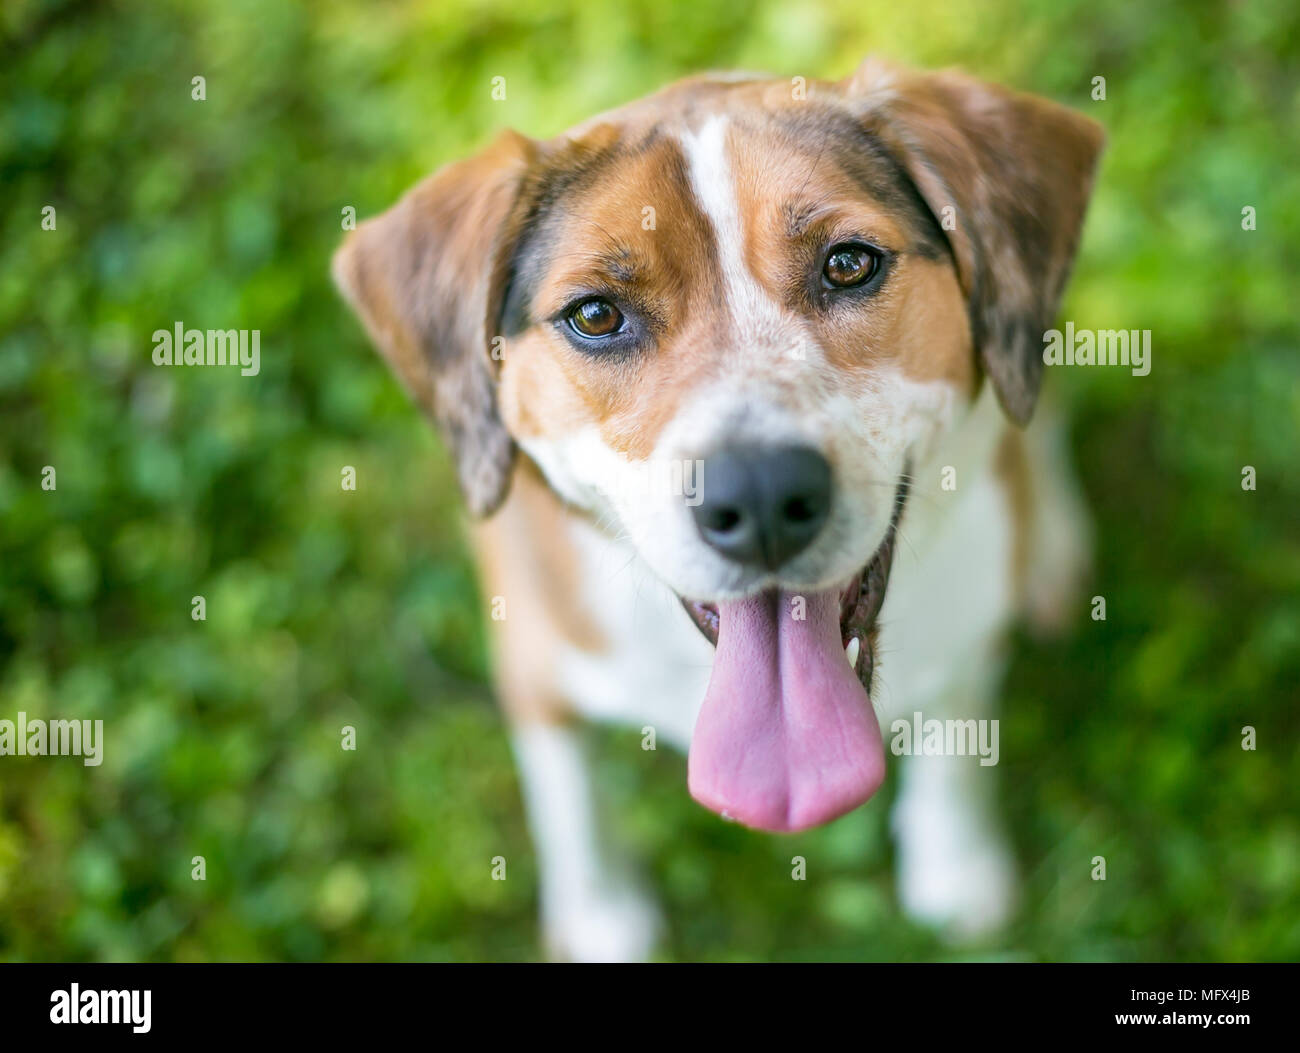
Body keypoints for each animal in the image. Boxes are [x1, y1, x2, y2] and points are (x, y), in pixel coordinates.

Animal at [330, 59, 1102, 961]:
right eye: (595, 314)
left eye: (850, 263)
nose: (761, 496)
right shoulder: (532, 665)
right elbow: (570, 801)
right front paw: (600, 914)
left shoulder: (972, 624)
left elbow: (955, 741)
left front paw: (955, 864)